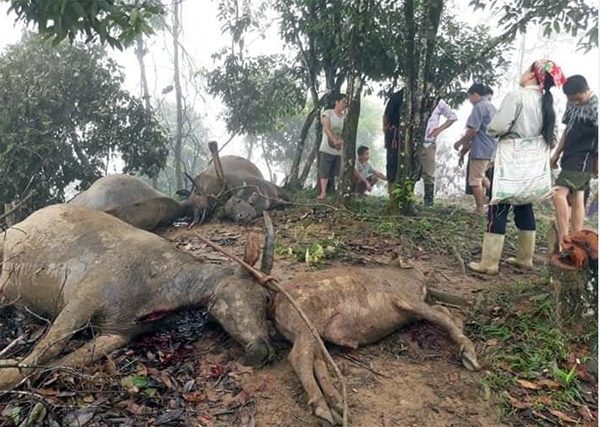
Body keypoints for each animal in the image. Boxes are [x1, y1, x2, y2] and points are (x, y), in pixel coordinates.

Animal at [0, 205, 274, 392]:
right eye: (256, 296)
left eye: (266, 301)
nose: (263, 349)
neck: (161, 290)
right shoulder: (83, 298)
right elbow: (49, 347)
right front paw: (7, 375)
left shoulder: (118, 333)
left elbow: (62, 363)